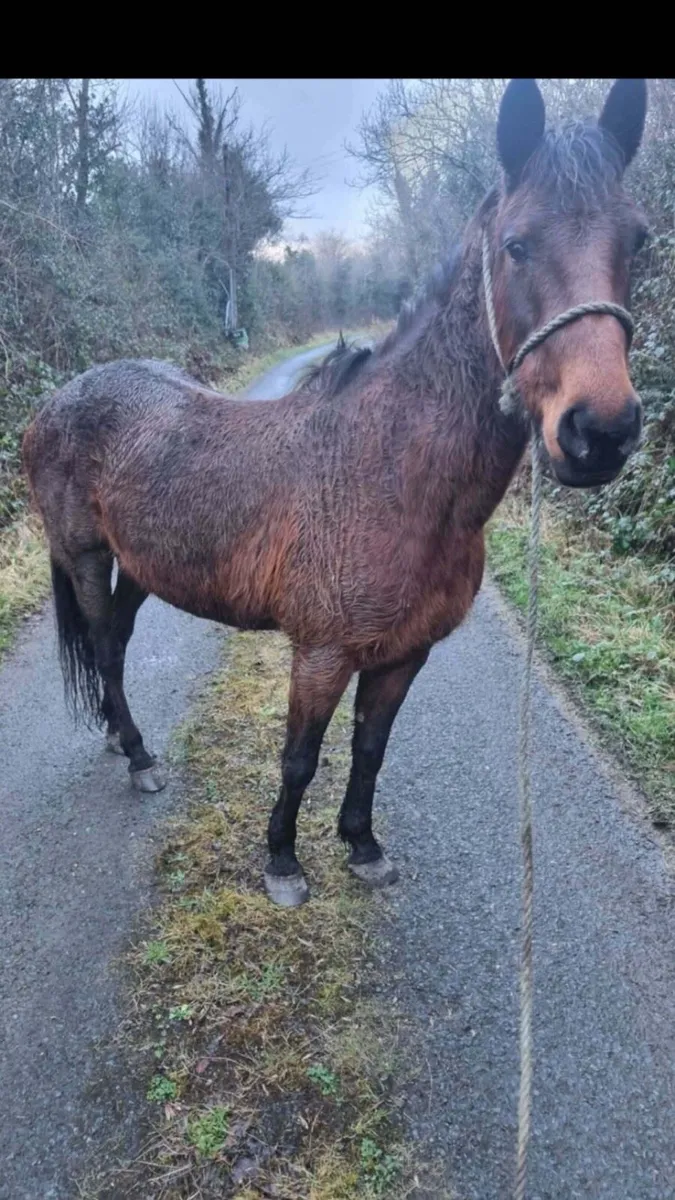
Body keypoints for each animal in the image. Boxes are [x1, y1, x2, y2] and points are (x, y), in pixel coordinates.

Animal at [22, 79, 648, 907]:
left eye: (637, 242)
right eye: (516, 245)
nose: (598, 432)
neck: (392, 474)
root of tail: (56, 402)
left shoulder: (402, 655)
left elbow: (370, 748)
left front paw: (361, 843)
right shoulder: (320, 653)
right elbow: (300, 756)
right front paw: (282, 861)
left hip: (145, 568)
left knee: (116, 646)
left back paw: (120, 740)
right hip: (88, 557)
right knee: (101, 645)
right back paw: (138, 755)